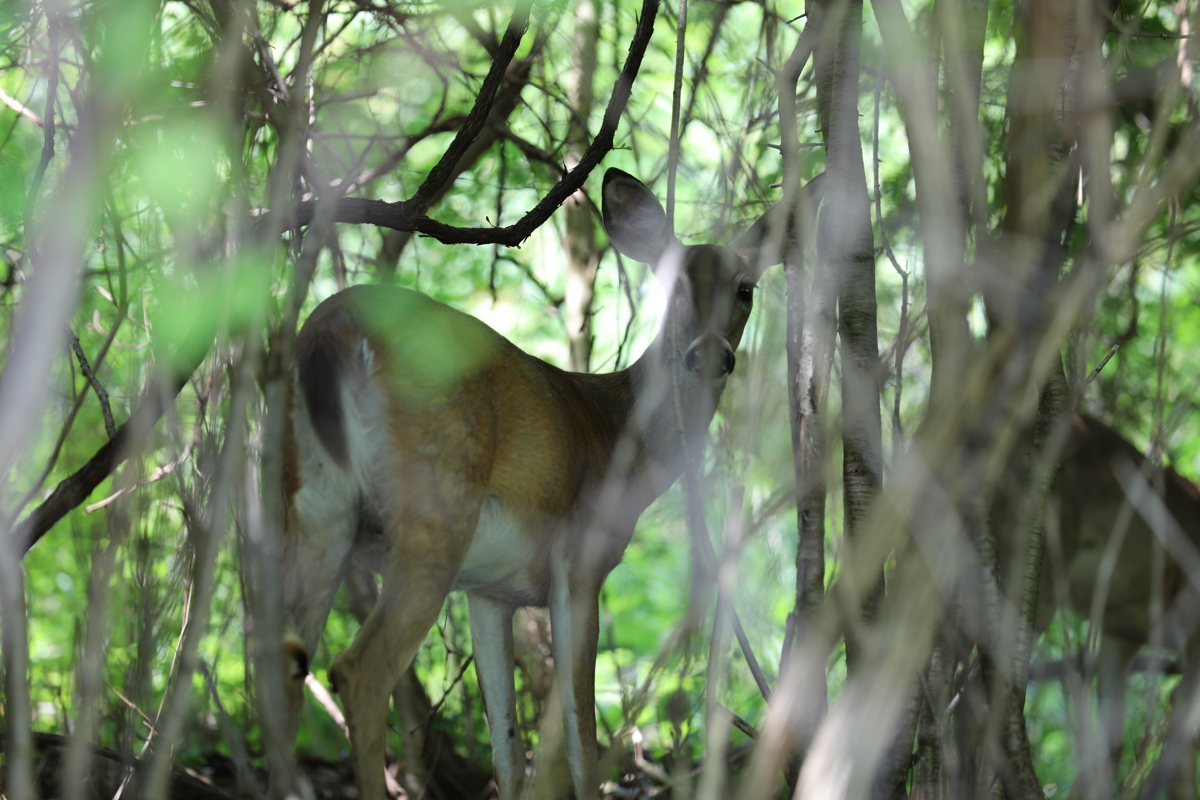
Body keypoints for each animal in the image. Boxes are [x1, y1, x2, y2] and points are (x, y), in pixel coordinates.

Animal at [277, 168, 809, 800]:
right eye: (673, 285)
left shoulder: (488, 590)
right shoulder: (579, 560)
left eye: (745, 288)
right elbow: (580, 743)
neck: (620, 434)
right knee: (359, 672)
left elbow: (508, 751)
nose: (710, 355)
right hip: (435, 507)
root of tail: (333, 329)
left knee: (282, 663)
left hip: (313, 508)